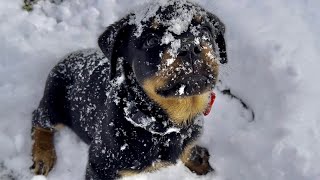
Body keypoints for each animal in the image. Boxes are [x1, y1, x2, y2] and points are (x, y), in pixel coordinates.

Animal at [30, 0, 228, 179]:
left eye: (205, 31)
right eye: (151, 40)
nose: (189, 46)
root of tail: (67, 57)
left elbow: (187, 149)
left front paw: (197, 159)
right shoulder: (100, 166)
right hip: (54, 103)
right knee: (40, 120)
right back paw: (43, 156)